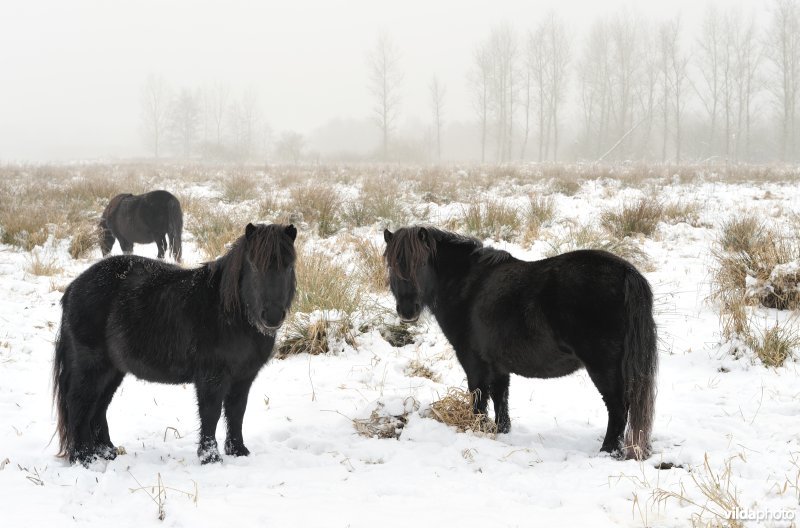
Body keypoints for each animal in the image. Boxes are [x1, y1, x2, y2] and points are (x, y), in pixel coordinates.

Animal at [53, 223, 297, 466]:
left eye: (289, 266)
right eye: (254, 265)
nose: (272, 316)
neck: (227, 313)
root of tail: (74, 287)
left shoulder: (243, 378)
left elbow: (236, 413)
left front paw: (238, 451)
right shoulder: (211, 377)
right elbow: (211, 414)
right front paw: (210, 458)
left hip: (113, 371)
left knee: (98, 408)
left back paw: (106, 452)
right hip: (92, 368)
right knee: (79, 405)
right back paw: (84, 458)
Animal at [383, 226, 658, 459]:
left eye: (420, 264)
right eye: (392, 266)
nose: (407, 310)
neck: (467, 284)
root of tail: (626, 272)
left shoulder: (474, 362)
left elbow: (479, 398)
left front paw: (477, 429)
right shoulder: (498, 365)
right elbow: (500, 398)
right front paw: (501, 431)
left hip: (604, 368)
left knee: (618, 409)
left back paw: (607, 451)